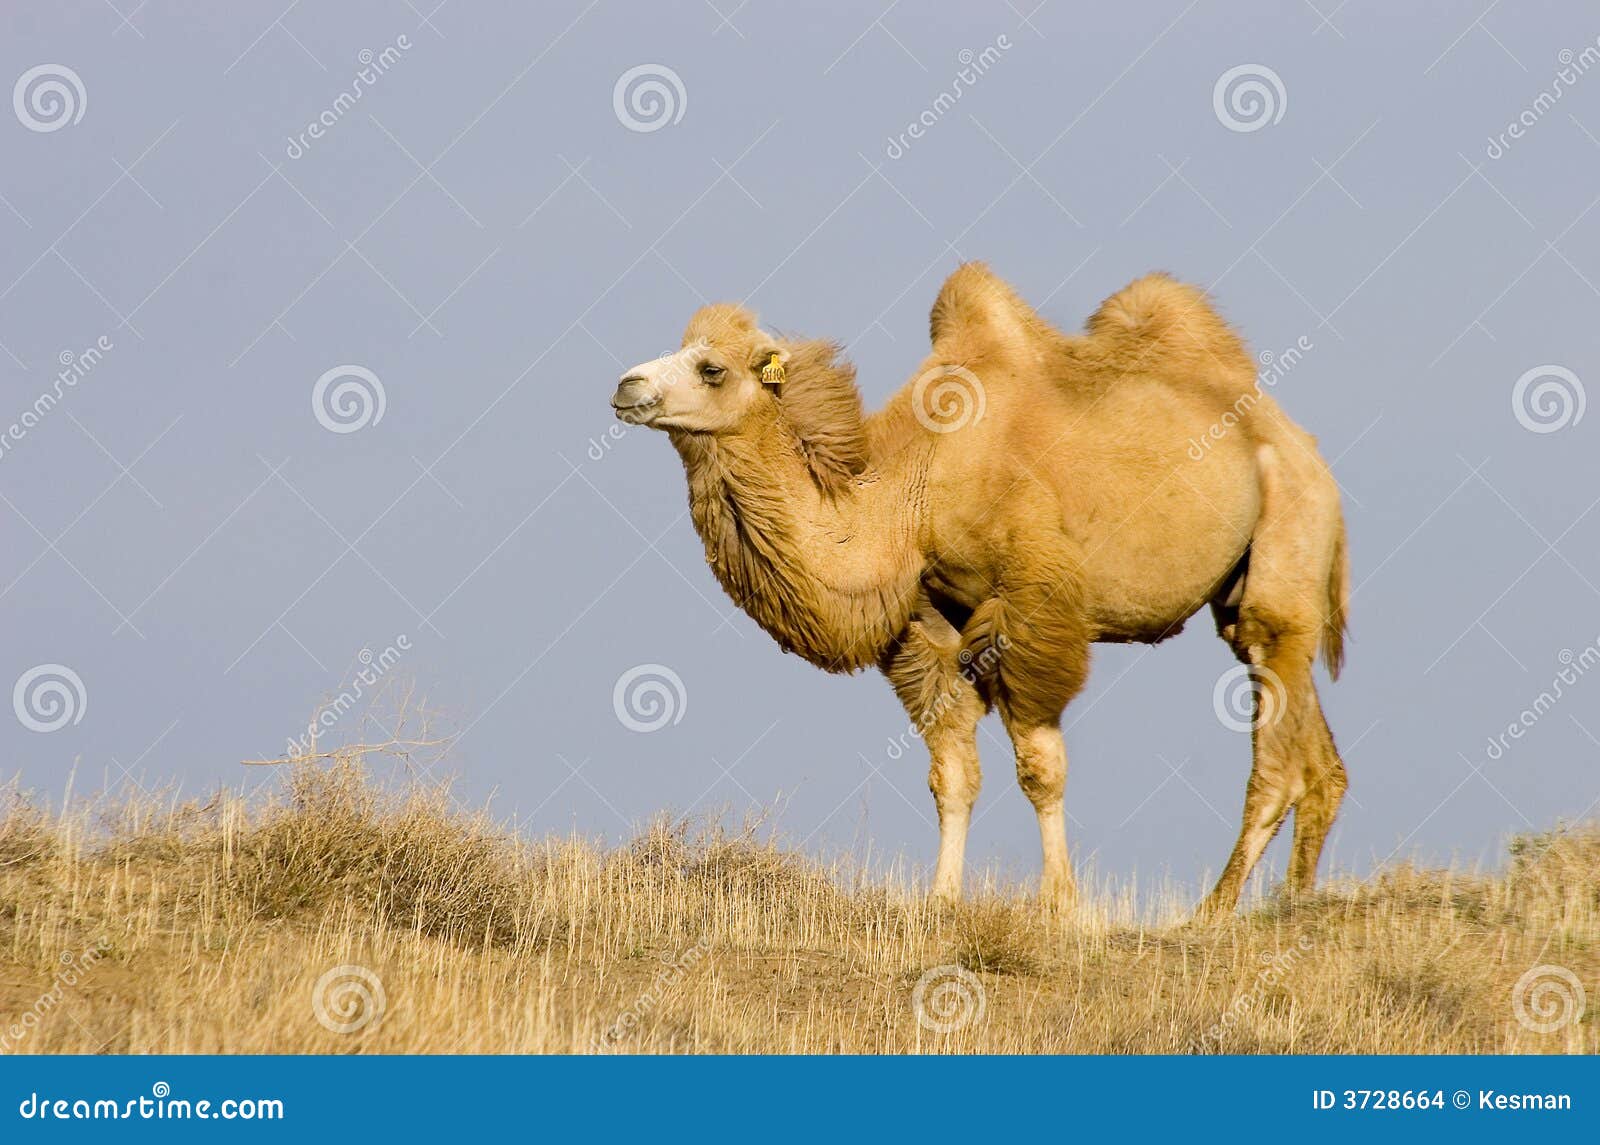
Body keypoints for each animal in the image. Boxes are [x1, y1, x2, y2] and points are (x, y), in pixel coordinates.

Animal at [611, 264, 1349, 917]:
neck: (913, 487)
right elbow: (952, 775)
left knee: (1278, 747)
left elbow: (1040, 769)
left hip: (1289, 526)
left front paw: (1059, 906)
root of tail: (1300, 444)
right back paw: (1293, 899)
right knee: (1313, 747)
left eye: (712, 368)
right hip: (1246, 591)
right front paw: (941, 900)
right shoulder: (927, 621)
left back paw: (1213, 912)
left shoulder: (1030, 602)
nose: (626, 385)